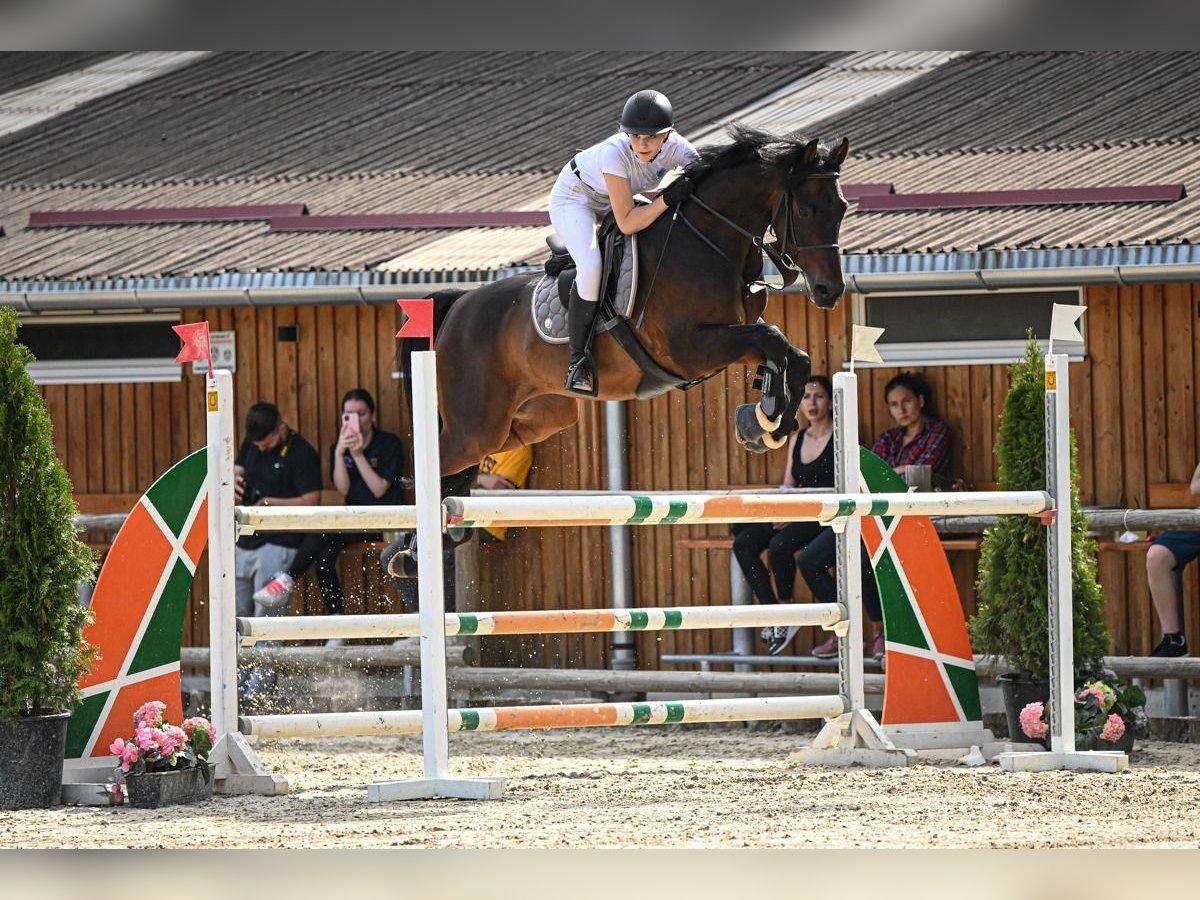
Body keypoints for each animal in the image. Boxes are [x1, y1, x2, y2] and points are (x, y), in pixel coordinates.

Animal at [408, 127, 849, 496]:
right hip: (475, 427)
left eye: (842, 207)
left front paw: (764, 422)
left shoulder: (733, 332)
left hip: (533, 418)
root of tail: (460, 305)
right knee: (434, 465)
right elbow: (772, 339)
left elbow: (792, 353)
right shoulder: (690, 349)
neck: (709, 241)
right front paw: (767, 417)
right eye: (806, 210)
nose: (830, 291)